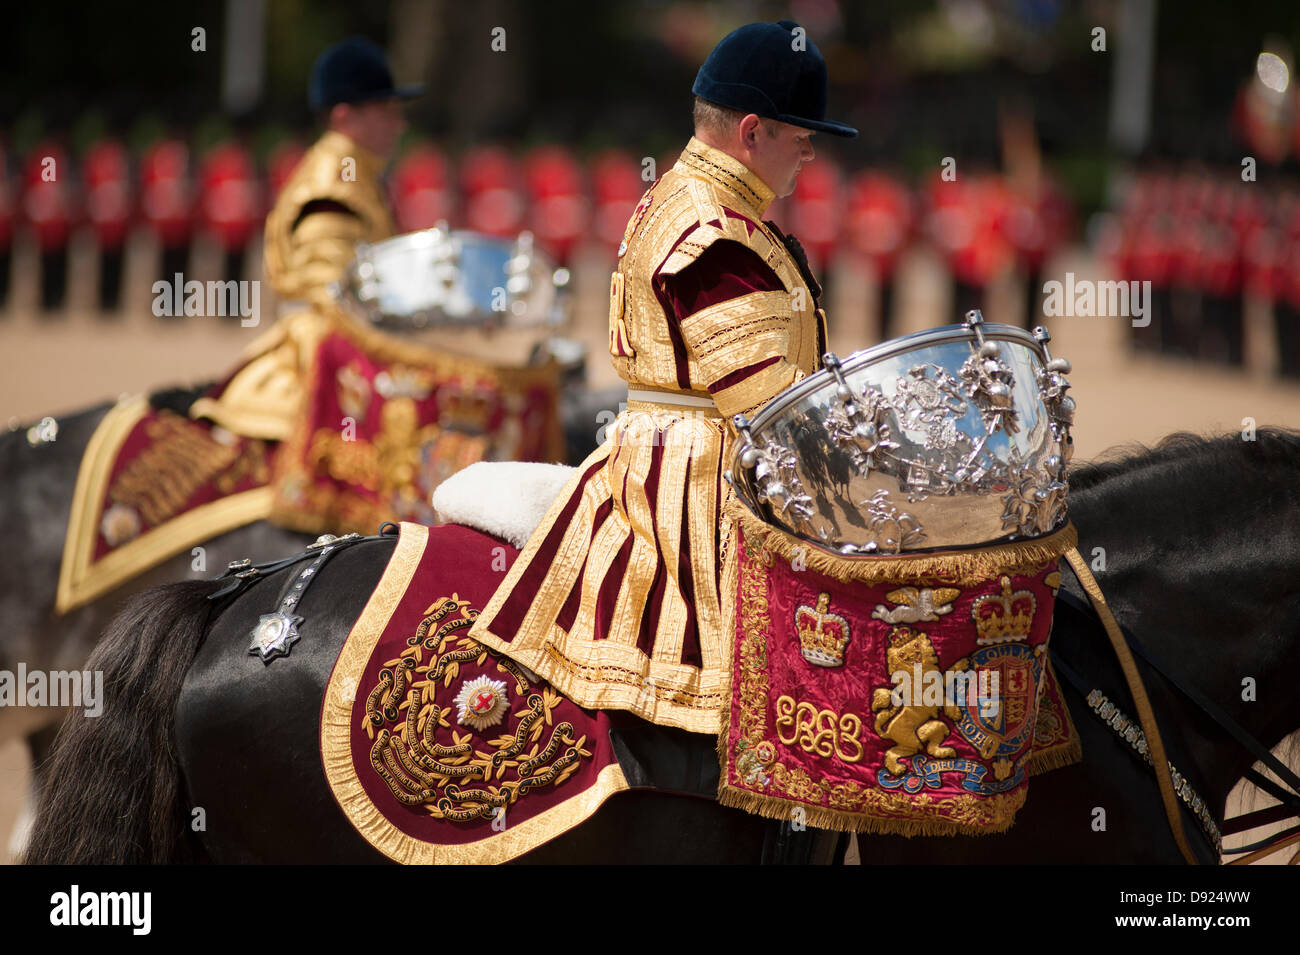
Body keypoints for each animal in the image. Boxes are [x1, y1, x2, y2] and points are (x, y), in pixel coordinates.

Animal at [873, 628, 967, 779]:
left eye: (916, 645)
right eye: (901, 654)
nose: (912, 656)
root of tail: (887, 732)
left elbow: (949, 673)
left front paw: (963, 663)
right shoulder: (933, 696)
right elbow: (946, 697)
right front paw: (956, 713)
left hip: (930, 729)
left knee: (931, 745)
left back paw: (946, 752)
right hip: (912, 743)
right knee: (892, 753)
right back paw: (898, 769)